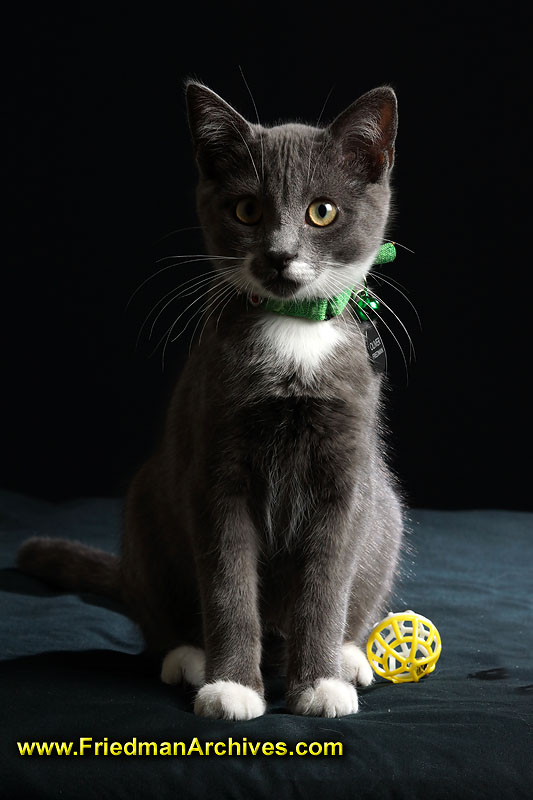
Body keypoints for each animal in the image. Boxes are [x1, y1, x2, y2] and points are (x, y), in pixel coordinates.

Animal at [19, 81, 404, 720]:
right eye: (247, 210)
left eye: (321, 211)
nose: (279, 254)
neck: (293, 335)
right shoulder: (214, 464)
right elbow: (226, 582)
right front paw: (232, 687)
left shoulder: (345, 471)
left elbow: (326, 585)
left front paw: (319, 683)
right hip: (147, 503)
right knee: (158, 618)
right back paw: (188, 657)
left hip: (387, 507)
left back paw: (351, 656)